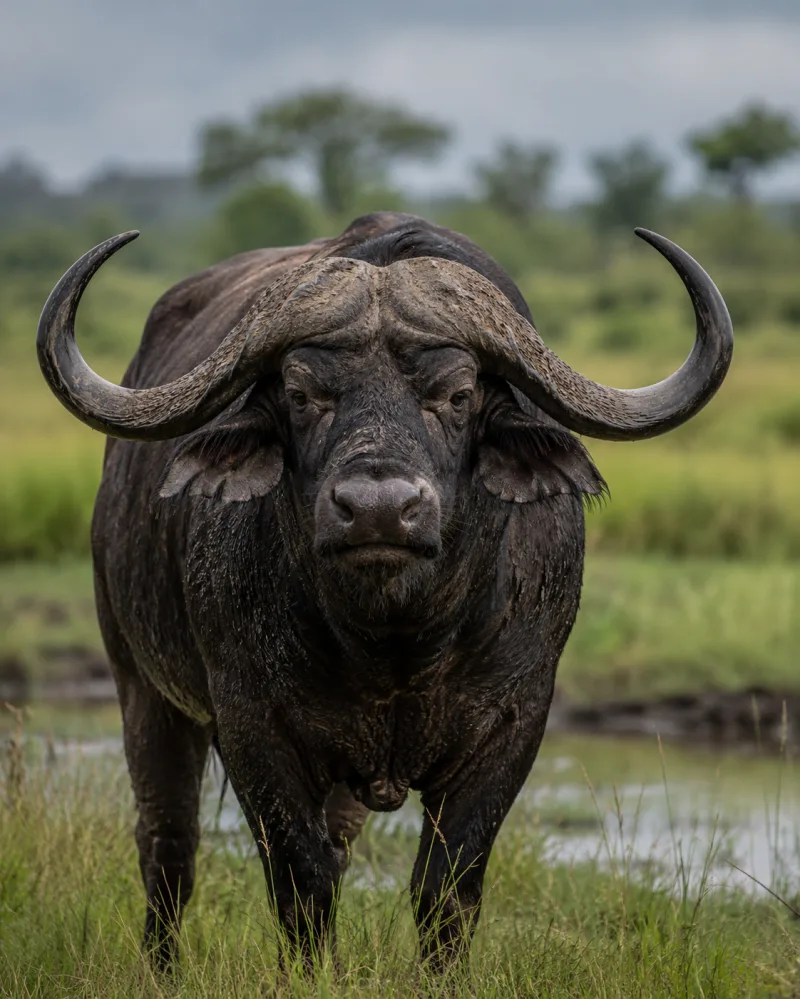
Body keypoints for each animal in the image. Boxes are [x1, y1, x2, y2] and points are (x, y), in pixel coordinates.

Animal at [37, 212, 733, 973]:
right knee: (168, 846)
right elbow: (300, 880)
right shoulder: (250, 724)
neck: (395, 642)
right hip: (141, 684)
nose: (378, 509)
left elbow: (445, 887)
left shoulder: (514, 723)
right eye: (302, 395)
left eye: (458, 395)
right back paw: (160, 964)